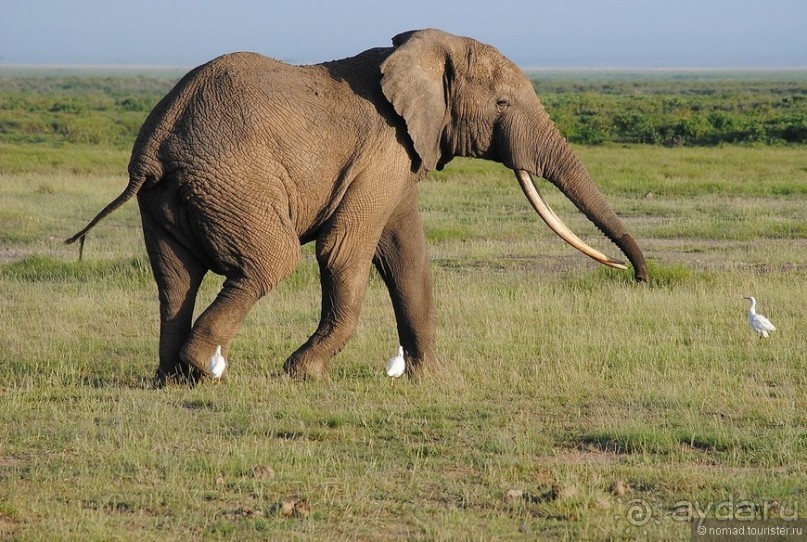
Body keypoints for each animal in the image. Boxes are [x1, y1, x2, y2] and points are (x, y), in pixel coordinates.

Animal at [68, 29, 652, 384]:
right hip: (234, 182)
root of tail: (157, 139)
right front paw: (303, 373)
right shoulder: (382, 150)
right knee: (270, 261)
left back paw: (170, 378)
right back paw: (199, 367)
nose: (638, 276)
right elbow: (344, 250)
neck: (423, 50)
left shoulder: (400, 154)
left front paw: (431, 380)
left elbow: (407, 254)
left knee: (174, 278)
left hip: (168, 198)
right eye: (503, 104)